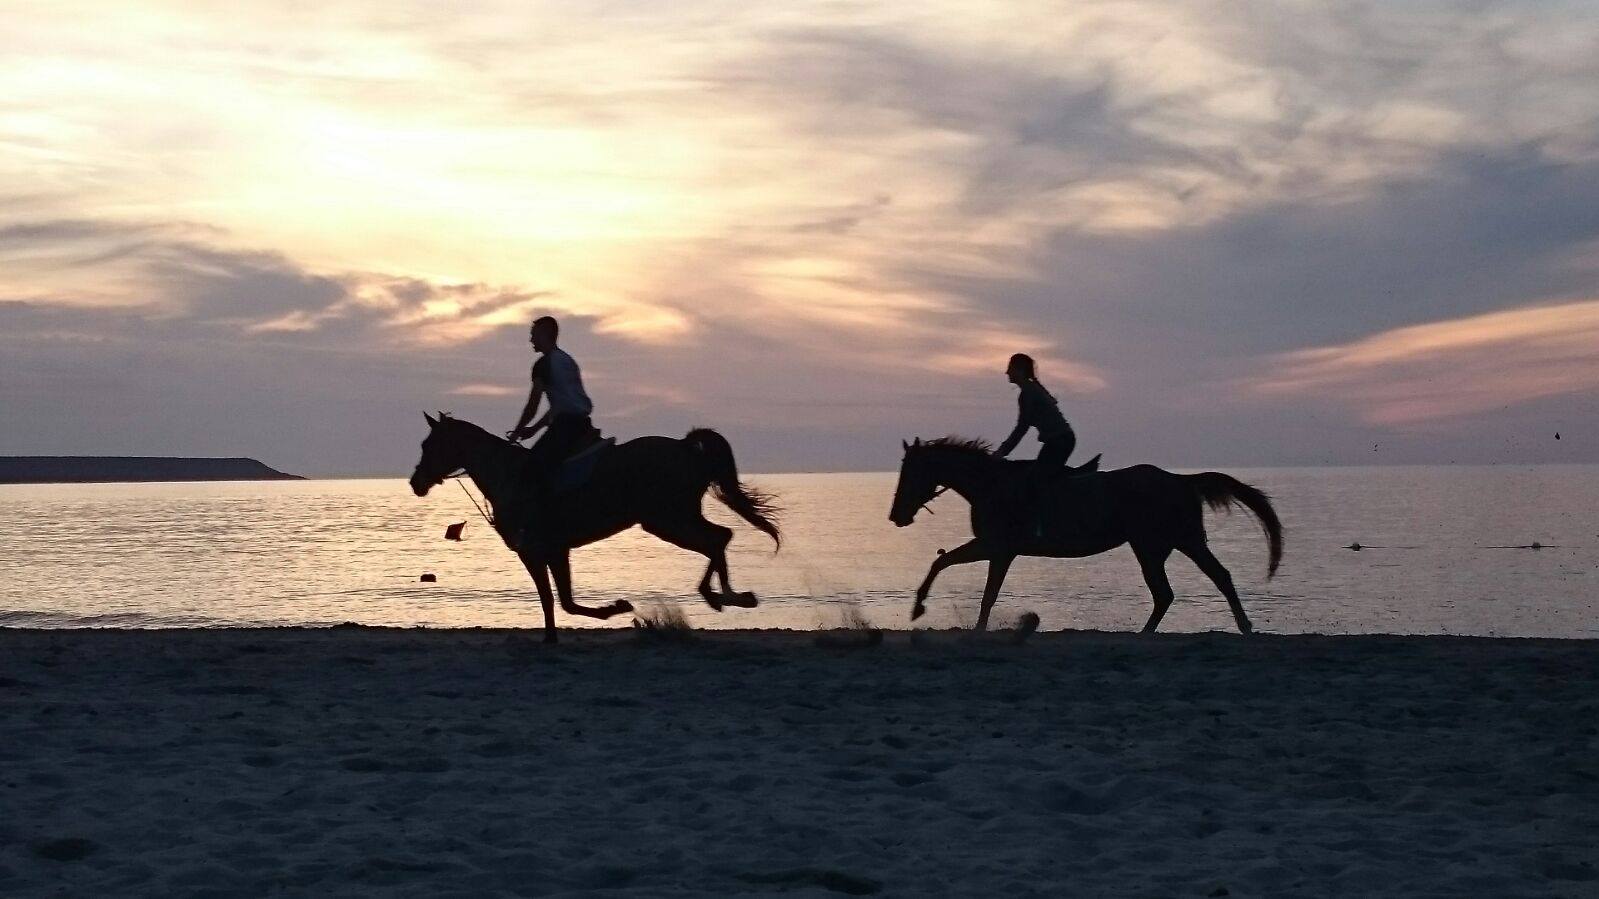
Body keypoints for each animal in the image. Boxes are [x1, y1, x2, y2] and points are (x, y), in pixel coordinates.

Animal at [409, 412, 777, 636]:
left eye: (429, 445)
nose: (416, 483)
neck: (506, 475)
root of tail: (685, 447)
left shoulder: (536, 550)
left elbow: (558, 600)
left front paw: (613, 608)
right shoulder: (553, 551)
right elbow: (559, 601)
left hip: (668, 520)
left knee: (717, 539)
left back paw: (723, 596)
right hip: (674, 518)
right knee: (721, 537)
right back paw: (729, 596)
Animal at [895, 435, 1279, 630]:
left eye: (910, 473)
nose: (896, 515)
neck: (991, 485)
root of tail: (1181, 480)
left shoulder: (997, 548)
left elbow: (982, 591)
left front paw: (933, 614)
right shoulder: (993, 548)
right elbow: (945, 565)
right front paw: (921, 609)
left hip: (1165, 544)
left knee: (1188, 586)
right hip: (1164, 545)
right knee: (1188, 586)